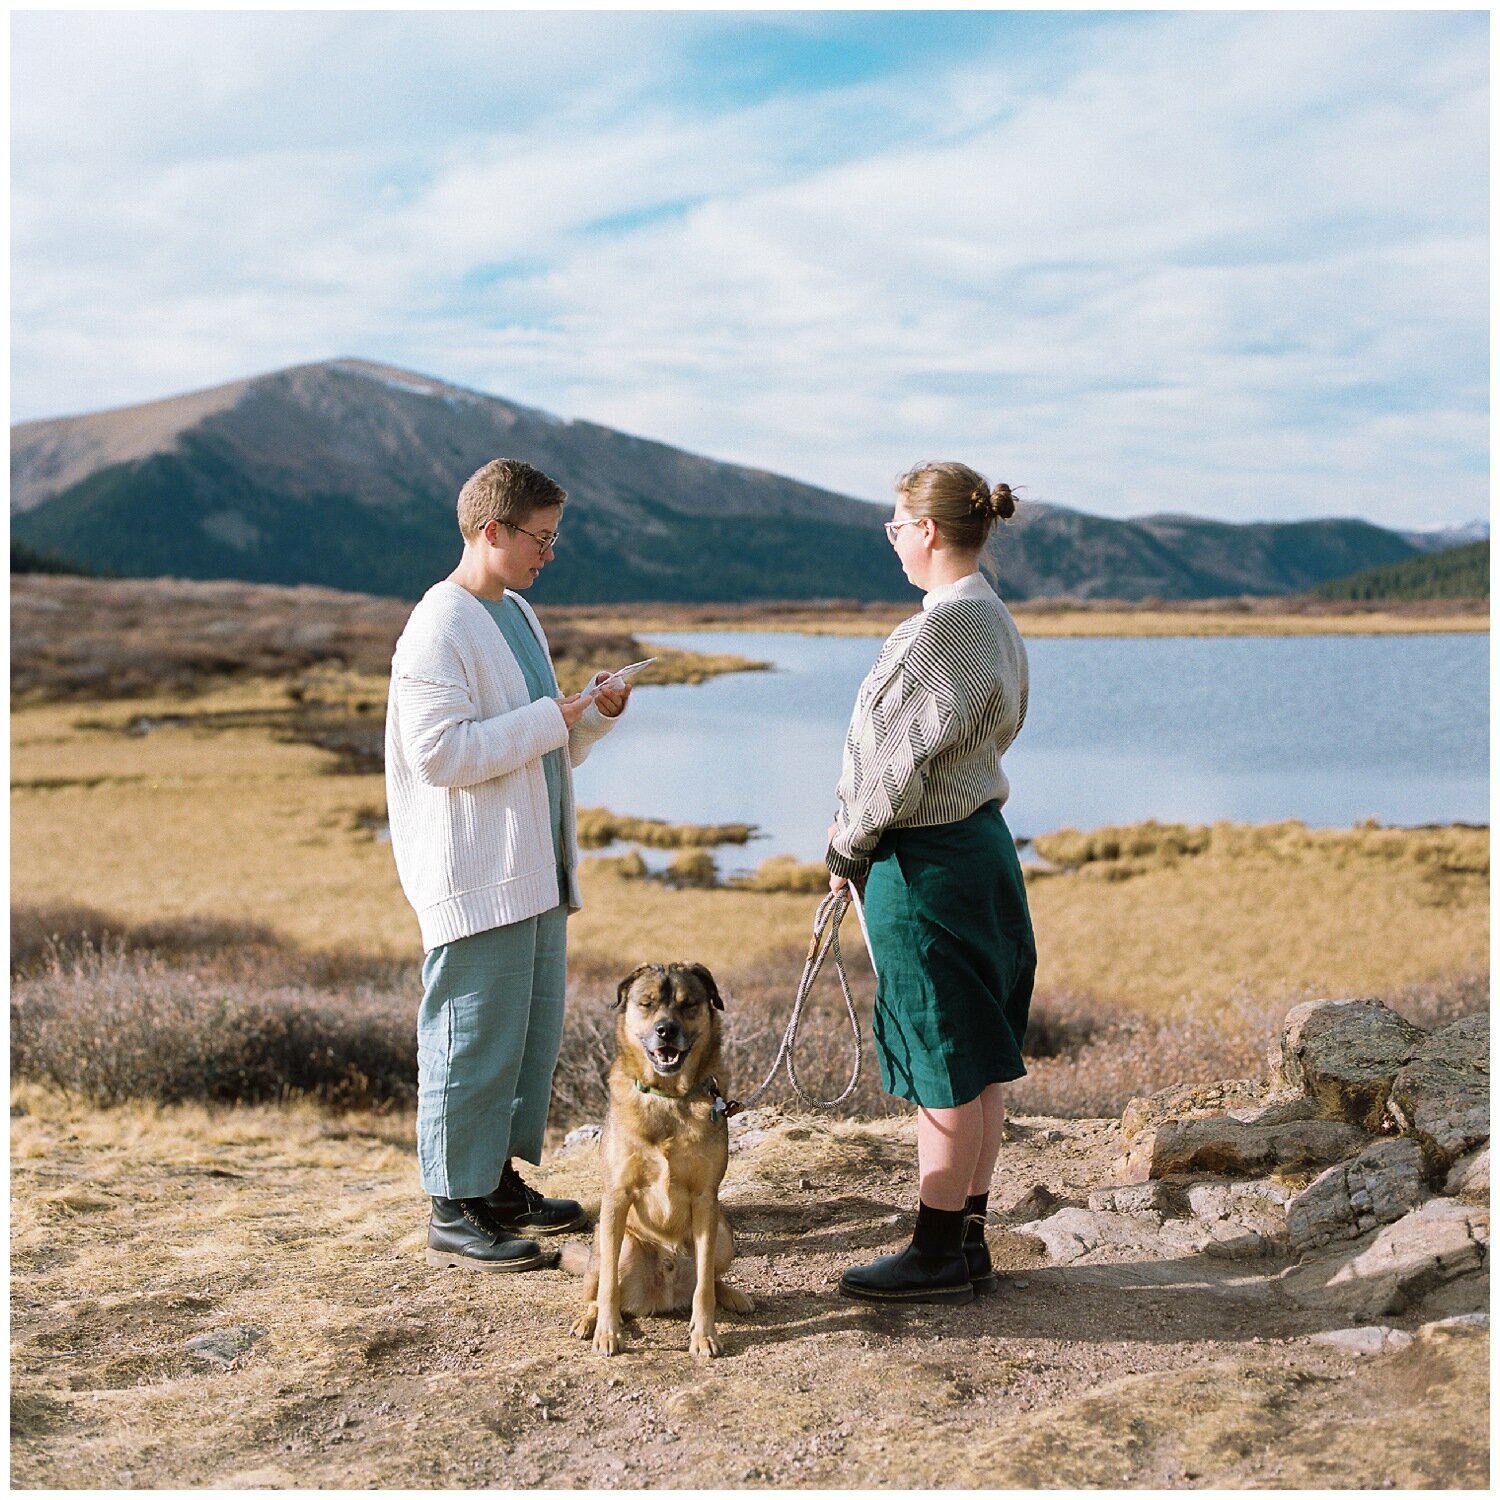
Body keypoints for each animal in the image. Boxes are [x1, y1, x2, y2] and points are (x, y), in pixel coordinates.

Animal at [564, 960, 750, 1362]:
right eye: (647, 1004)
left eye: (688, 1004)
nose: (666, 1030)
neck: (668, 1098)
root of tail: (663, 1294)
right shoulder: (616, 1196)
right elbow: (608, 1290)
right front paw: (607, 1333)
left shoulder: (705, 1199)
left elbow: (703, 1289)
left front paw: (704, 1335)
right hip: (619, 1244)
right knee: (597, 1288)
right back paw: (589, 1320)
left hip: (723, 1233)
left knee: (710, 1278)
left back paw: (733, 1295)